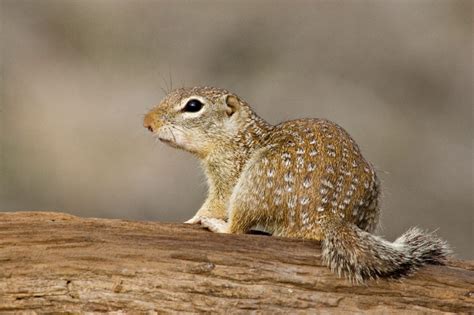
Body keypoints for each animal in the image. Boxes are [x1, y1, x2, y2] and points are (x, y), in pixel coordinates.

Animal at [143, 86, 450, 282]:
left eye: (193, 106)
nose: (147, 122)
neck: (238, 136)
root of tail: (329, 218)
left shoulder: (227, 175)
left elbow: (215, 203)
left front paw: (193, 219)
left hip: (255, 181)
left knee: (237, 228)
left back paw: (218, 226)